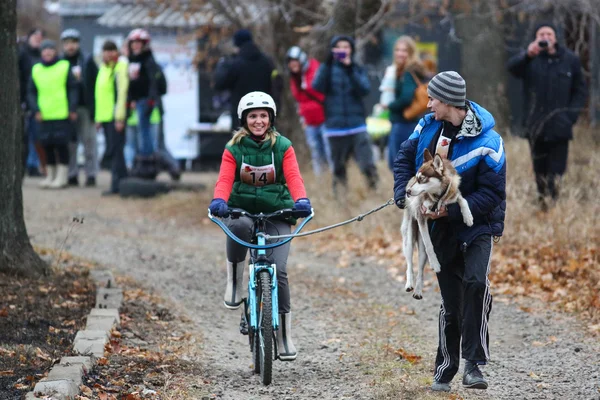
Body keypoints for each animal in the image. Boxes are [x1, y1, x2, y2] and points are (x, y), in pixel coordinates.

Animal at [404, 148, 474, 298]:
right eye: (416, 178)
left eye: (422, 179)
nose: (407, 191)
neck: (438, 196)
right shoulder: (421, 216)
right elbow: (430, 245)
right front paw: (436, 264)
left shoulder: (453, 194)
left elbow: (462, 200)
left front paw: (468, 217)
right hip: (410, 238)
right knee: (410, 263)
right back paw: (409, 283)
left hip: (421, 252)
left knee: (420, 268)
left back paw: (418, 290)